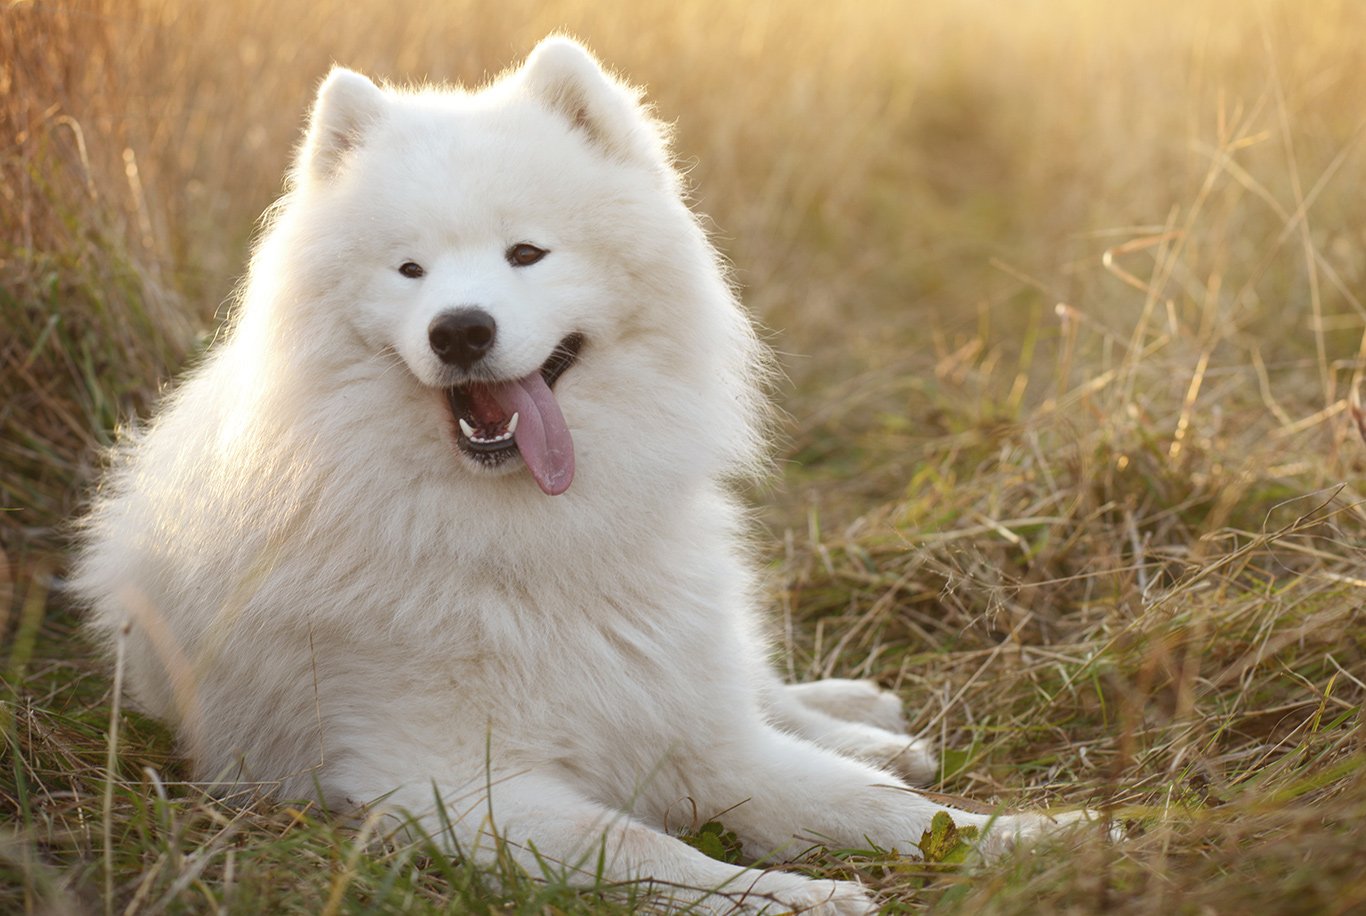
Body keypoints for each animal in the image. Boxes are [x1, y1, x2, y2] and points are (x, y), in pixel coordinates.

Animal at [79, 37, 1092, 916]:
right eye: (409, 270)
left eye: (527, 253)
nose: (460, 330)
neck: (538, 537)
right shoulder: (464, 785)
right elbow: (650, 847)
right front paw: (794, 897)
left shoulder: (684, 727)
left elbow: (888, 812)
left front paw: (1043, 839)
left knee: (762, 690)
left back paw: (866, 721)